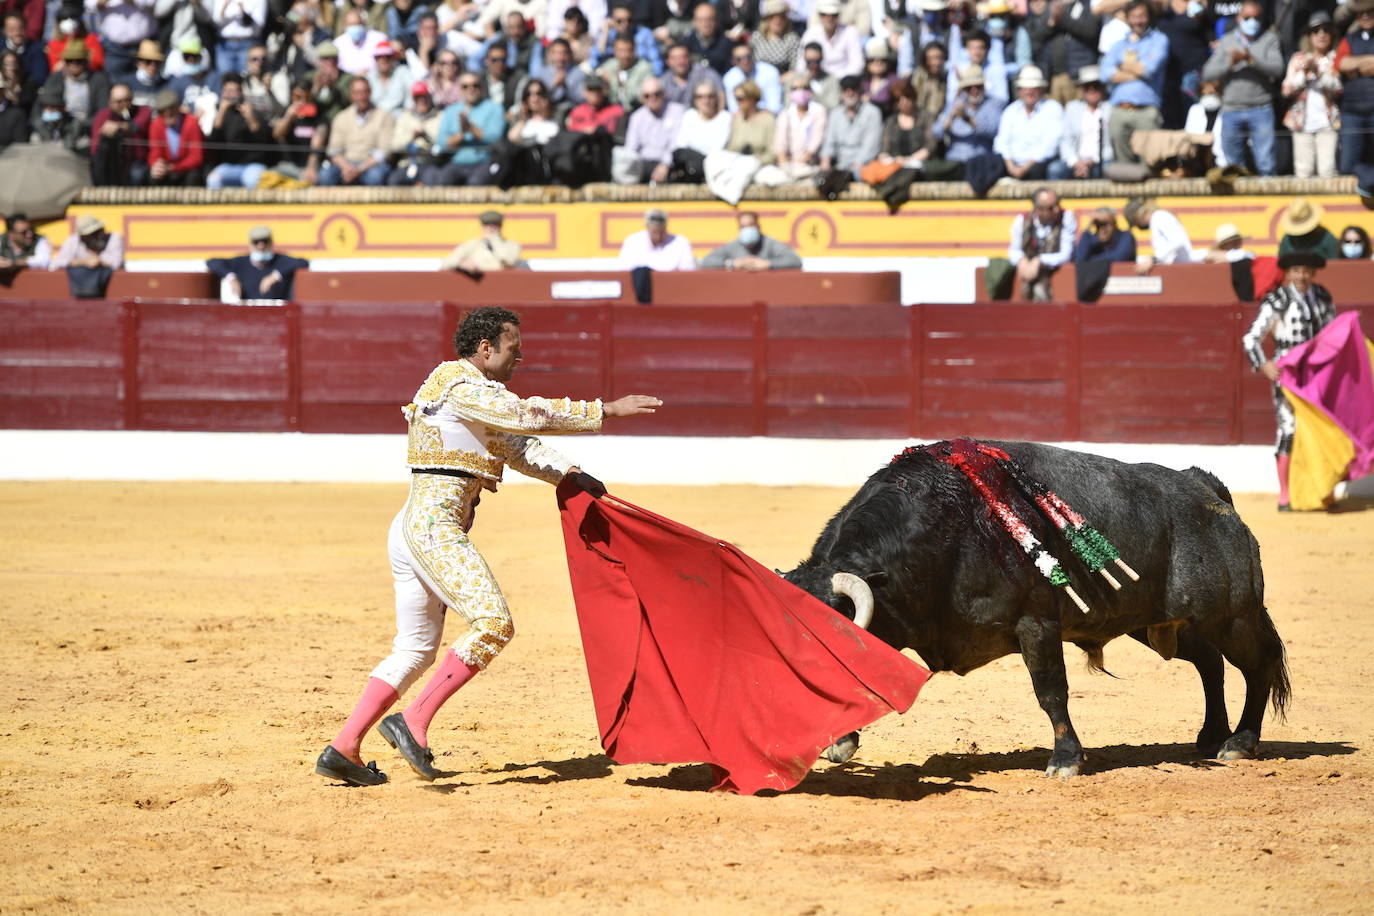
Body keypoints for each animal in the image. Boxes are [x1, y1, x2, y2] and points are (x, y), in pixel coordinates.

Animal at [785, 439, 1286, 780]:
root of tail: (1203, 483)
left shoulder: (1037, 624)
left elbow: (1051, 692)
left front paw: (1066, 761)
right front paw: (838, 741)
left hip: (1231, 616)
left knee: (1258, 664)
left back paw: (1240, 743)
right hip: (1160, 624)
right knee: (1210, 663)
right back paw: (1210, 736)